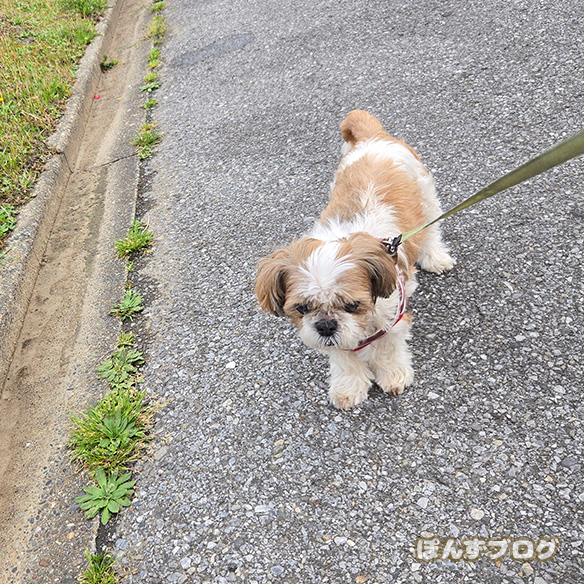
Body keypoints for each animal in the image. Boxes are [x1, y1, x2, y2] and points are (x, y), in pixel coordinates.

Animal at [255, 110, 454, 409]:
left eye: (351, 305)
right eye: (302, 308)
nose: (326, 325)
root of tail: (373, 138)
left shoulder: (393, 316)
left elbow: (387, 348)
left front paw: (393, 375)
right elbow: (344, 358)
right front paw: (349, 387)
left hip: (425, 193)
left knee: (430, 229)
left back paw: (435, 257)